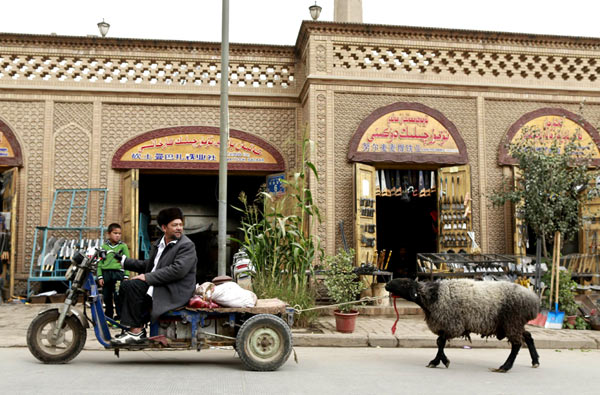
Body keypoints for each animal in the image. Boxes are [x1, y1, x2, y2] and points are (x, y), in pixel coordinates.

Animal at [386, 276, 540, 372]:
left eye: (405, 283)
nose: (387, 285)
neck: (434, 296)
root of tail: (533, 300)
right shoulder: (446, 326)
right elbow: (439, 342)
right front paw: (440, 361)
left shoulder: (453, 325)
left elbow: (440, 342)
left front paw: (438, 362)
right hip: (513, 324)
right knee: (528, 336)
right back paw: (535, 361)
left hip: (512, 321)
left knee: (517, 344)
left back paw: (505, 367)